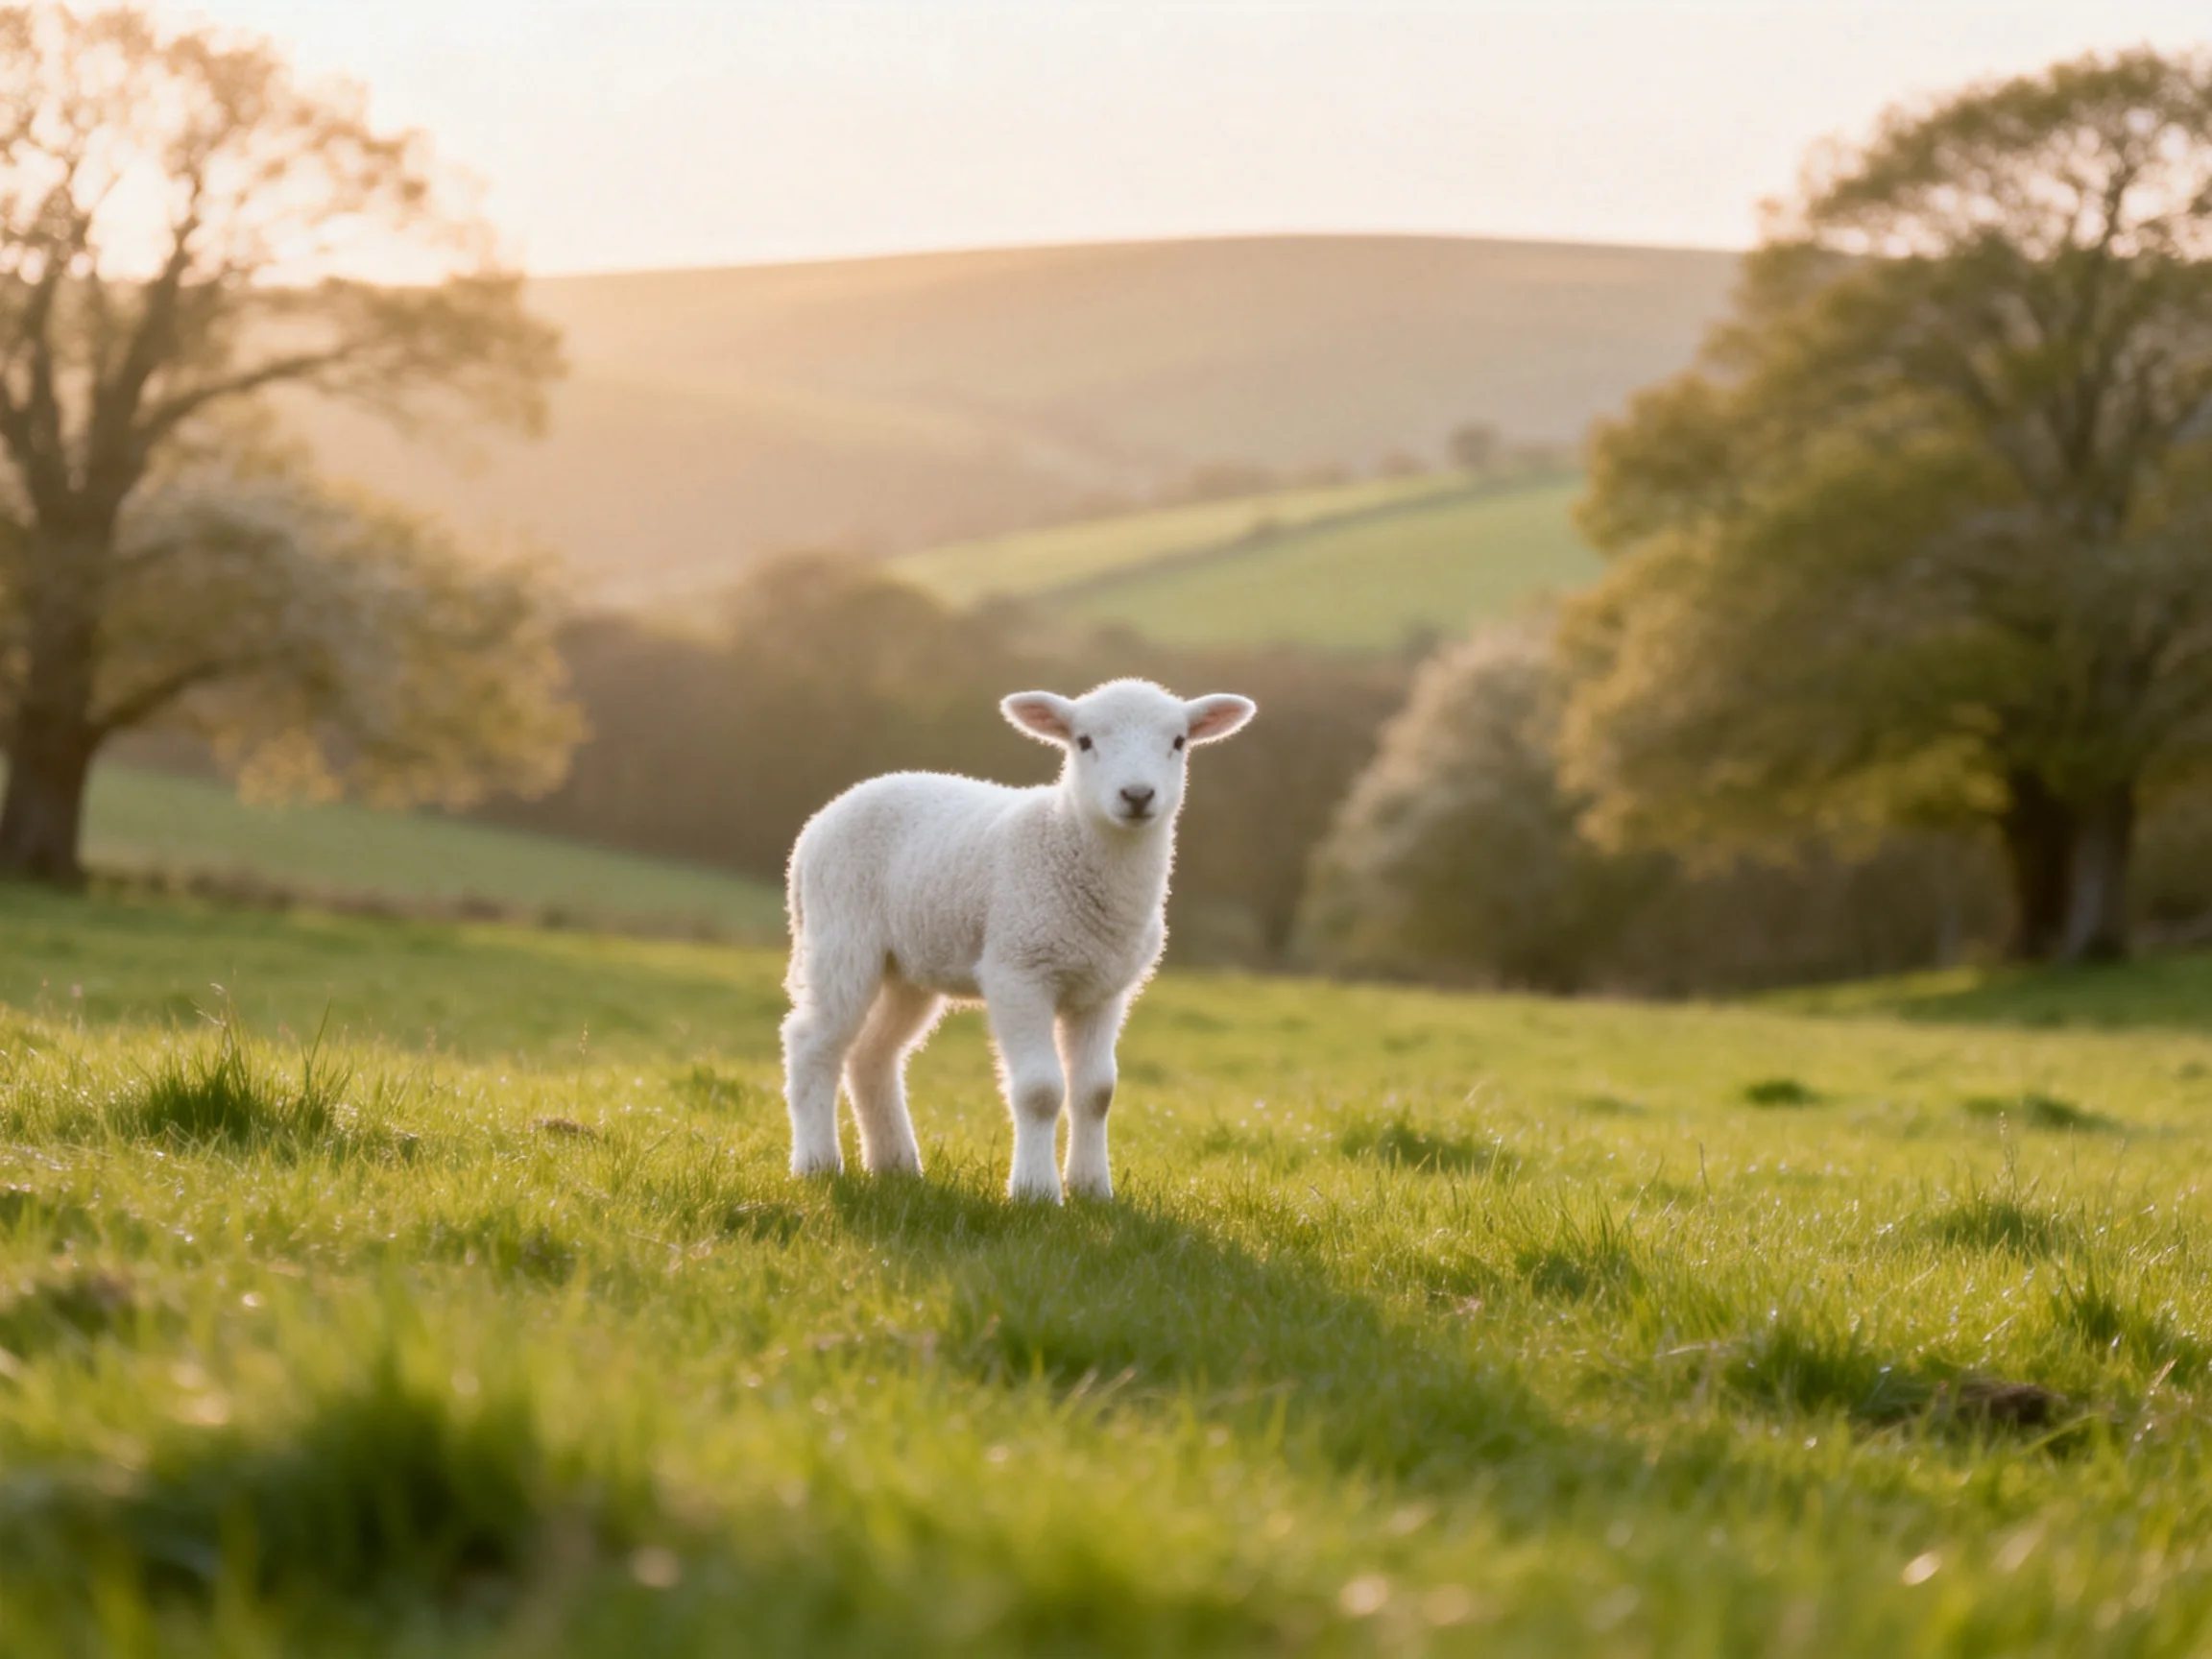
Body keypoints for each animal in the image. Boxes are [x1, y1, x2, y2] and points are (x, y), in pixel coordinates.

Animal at [780, 678, 1257, 1201]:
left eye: (1178, 742)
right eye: (1083, 741)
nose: (1136, 795)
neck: (1067, 839)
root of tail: (819, 823)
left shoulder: (1104, 989)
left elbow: (1097, 1092)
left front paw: (1093, 1189)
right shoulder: (1018, 970)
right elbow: (1041, 1090)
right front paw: (1035, 1192)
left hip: (908, 967)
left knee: (871, 1055)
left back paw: (897, 1165)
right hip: (841, 936)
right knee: (811, 1043)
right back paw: (818, 1164)